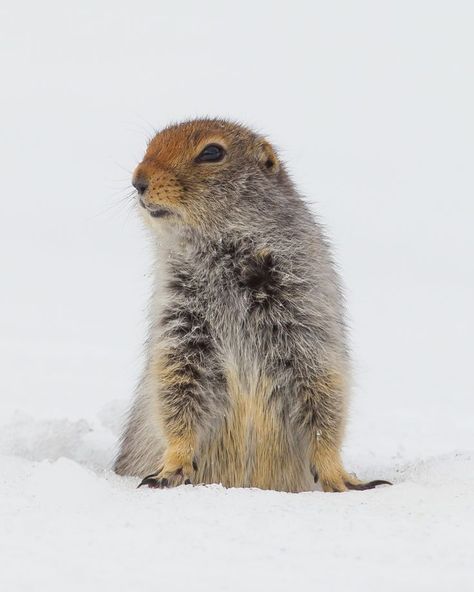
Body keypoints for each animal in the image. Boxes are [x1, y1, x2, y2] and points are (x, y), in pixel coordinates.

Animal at [114, 118, 388, 492]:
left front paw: (342, 477)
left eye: (211, 152)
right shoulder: (179, 320)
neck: (223, 255)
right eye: (149, 147)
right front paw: (170, 469)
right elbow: (176, 387)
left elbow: (323, 392)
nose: (138, 181)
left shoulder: (307, 314)